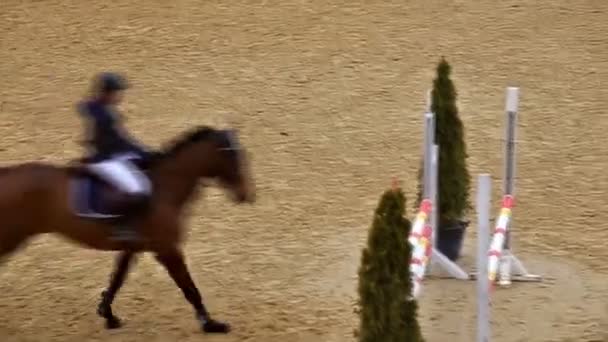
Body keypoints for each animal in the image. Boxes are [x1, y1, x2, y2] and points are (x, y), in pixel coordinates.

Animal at [0, 125, 254, 334]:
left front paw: (107, 314)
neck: (165, 187)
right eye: (232, 157)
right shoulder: (167, 249)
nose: (246, 195)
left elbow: (117, 279)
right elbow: (189, 288)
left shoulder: (134, 247)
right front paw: (211, 324)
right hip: (11, 236)